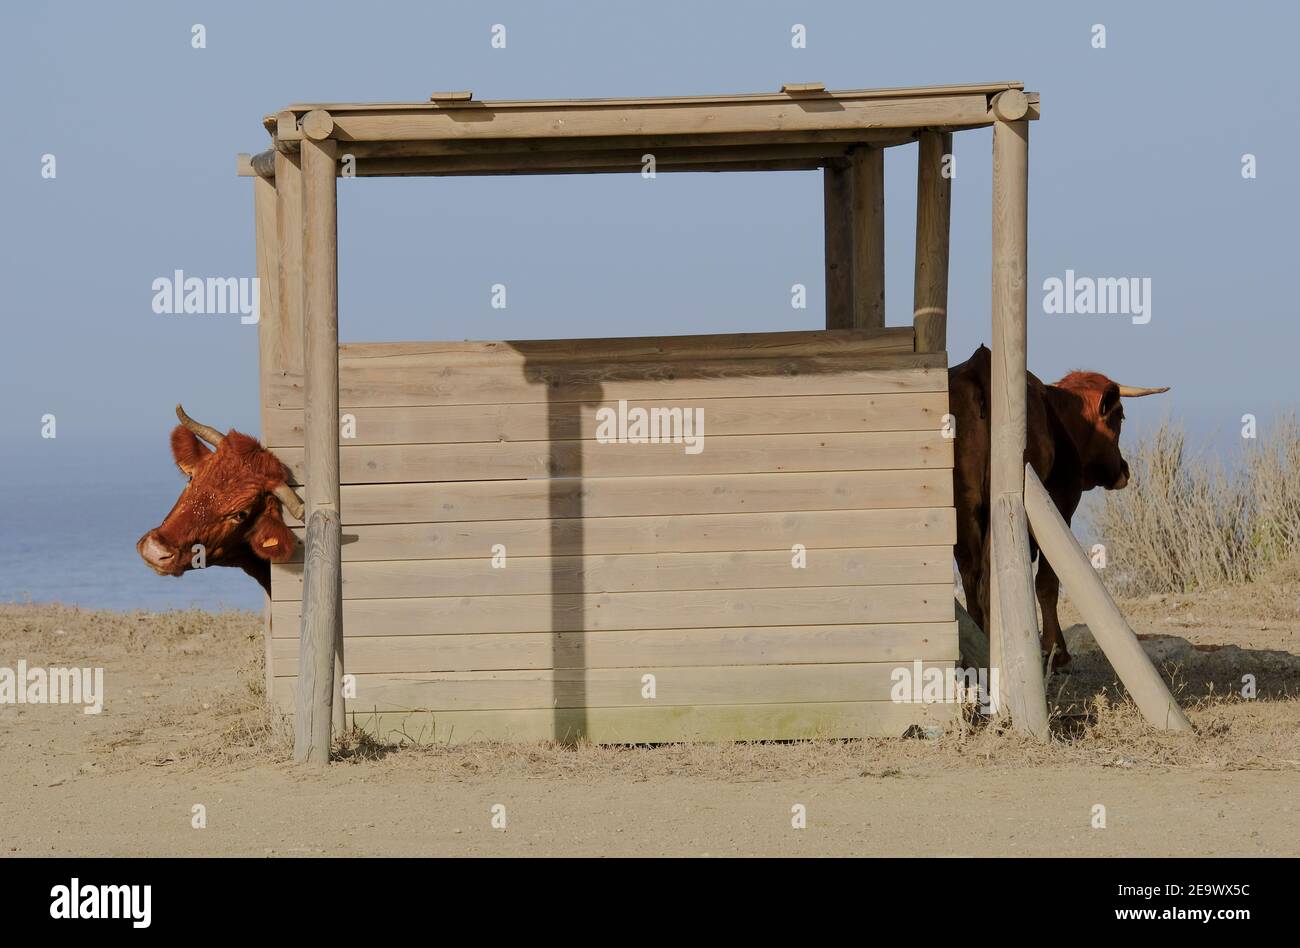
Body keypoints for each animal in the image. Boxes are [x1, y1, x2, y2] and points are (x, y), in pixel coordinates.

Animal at [949, 345, 1167, 670]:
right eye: (1120, 417)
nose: (1124, 469)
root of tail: (980, 362)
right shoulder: (1062, 504)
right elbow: (1048, 582)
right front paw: (1056, 650)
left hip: (964, 512)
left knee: (971, 577)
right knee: (988, 580)